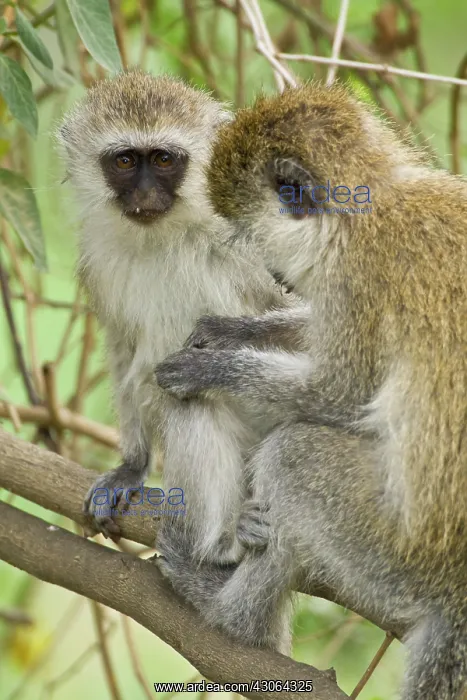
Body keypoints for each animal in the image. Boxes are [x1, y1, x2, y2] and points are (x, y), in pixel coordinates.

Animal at [56, 70, 299, 582]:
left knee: (185, 395)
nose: (146, 195)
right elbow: (123, 345)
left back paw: (223, 544)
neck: (168, 233)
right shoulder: (97, 259)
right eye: (126, 160)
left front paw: (222, 341)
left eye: (164, 159)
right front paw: (132, 466)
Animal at [155, 83, 467, 698]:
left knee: (294, 457)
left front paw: (214, 368)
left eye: (251, 235)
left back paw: (229, 618)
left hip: (393, 545)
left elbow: (340, 394)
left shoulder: (357, 273)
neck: (379, 201)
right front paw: (232, 331)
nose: (276, 275)